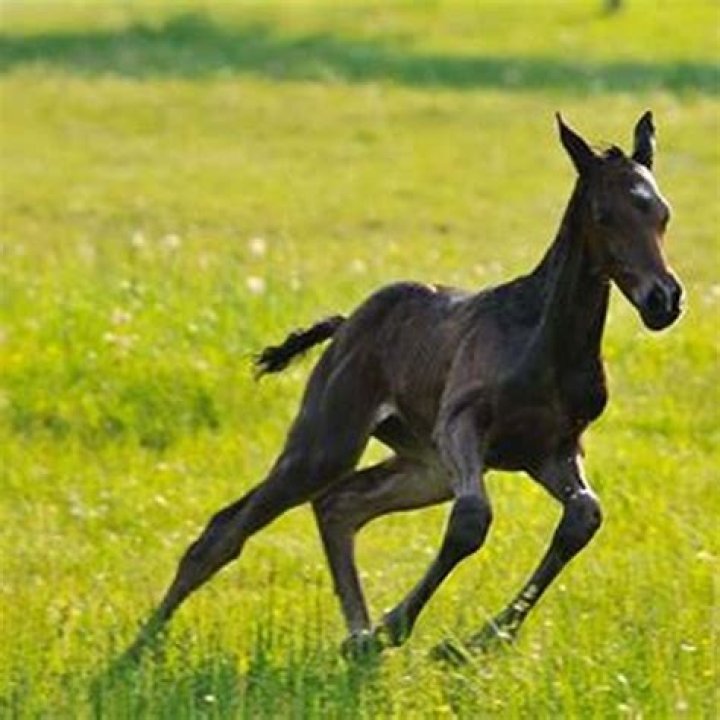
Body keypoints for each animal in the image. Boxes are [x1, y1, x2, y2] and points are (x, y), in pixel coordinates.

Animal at [127, 112, 682, 661]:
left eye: (663, 213)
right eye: (604, 216)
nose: (664, 299)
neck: (544, 340)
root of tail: (347, 323)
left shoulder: (552, 449)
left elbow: (583, 518)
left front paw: (475, 642)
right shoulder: (461, 423)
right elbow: (471, 521)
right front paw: (402, 628)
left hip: (426, 467)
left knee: (340, 505)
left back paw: (358, 637)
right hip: (329, 440)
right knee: (229, 527)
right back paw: (138, 649)